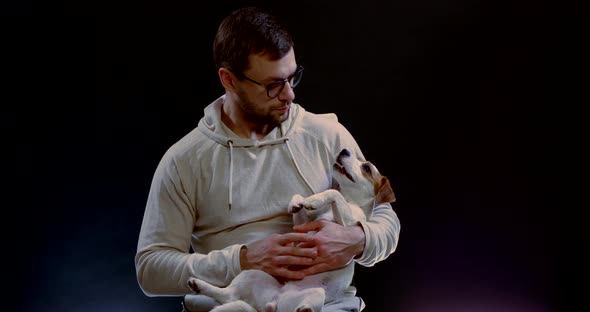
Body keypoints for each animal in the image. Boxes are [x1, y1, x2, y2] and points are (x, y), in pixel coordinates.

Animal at [187, 149, 396, 312]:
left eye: (366, 168)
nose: (344, 150)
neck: (350, 201)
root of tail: (272, 304)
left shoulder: (346, 227)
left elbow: (334, 192)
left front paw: (313, 200)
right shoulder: (301, 225)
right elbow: (302, 203)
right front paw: (298, 202)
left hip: (317, 293)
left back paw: (305, 308)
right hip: (253, 273)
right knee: (227, 295)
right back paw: (199, 285)